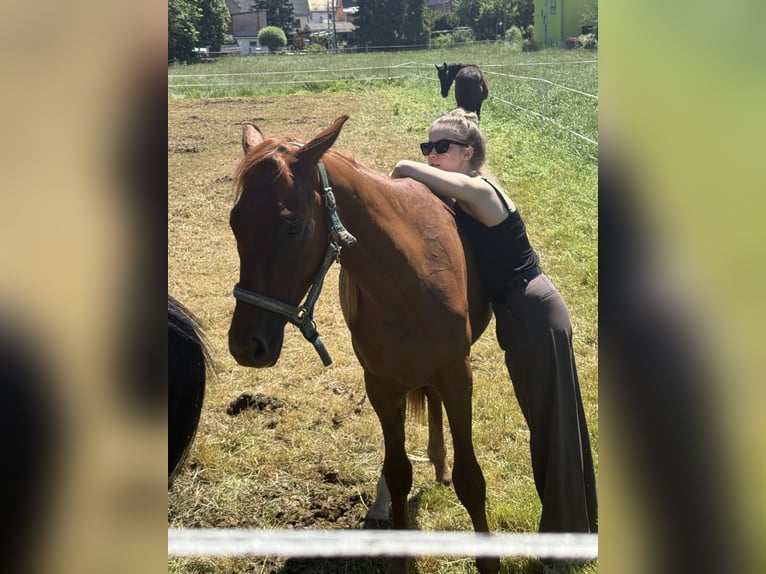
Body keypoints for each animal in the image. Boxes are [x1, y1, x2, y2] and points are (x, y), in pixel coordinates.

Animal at [227, 116, 498, 574]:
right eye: (235, 222)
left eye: (292, 225)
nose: (246, 345)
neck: (407, 276)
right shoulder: (380, 384)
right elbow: (399, 472)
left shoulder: (458, 375)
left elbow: (470, 478)